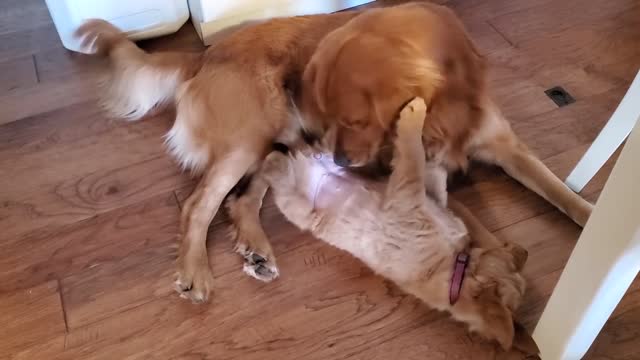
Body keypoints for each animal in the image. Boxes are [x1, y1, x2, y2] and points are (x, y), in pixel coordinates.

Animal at [260, 97, 540, 356]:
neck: (454, 269)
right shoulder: (424, 198)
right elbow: (429, 173)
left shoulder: (407, 199)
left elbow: (413, 158)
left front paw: (416, 113)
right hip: (333, 153)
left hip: (297, 201)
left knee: (275, 166)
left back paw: (276, 157)